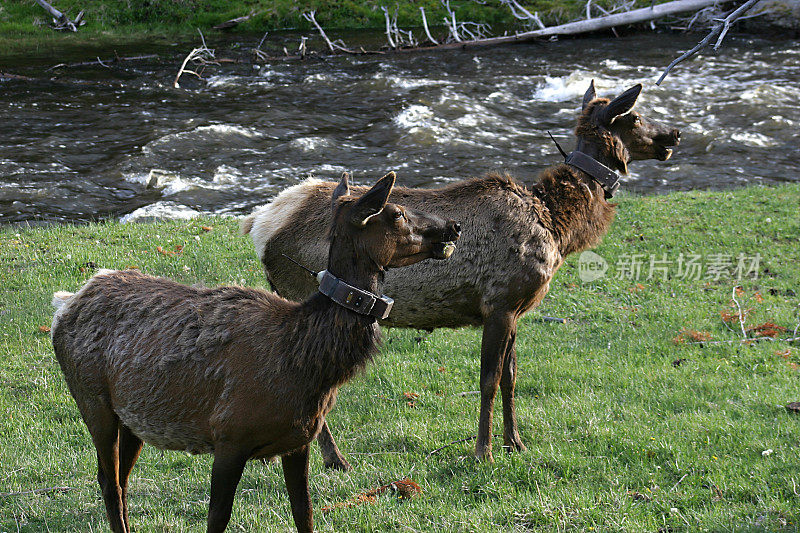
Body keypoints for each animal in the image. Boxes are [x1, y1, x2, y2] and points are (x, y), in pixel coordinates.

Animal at [50, 171, 460, 532]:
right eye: (396, 213)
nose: (453, 226)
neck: (309, 364)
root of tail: (66, 303)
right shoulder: (229, 434)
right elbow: (217, 518)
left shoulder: (298, 441)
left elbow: (304, 513)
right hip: (92, 400)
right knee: (108, 481)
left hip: (132, 419)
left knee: (121, 480)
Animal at [241, 80, 680, 466]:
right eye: (635, 116)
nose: (673, 134)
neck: (559, 226)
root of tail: (260, 224)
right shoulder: (499, 302)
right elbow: (488, 380)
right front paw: (484, 452)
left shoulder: (515, 309)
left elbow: (511, 377)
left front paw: (516, 443)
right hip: (300, 293)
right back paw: (333, 459)